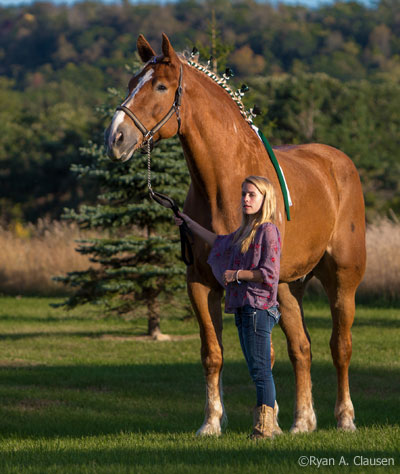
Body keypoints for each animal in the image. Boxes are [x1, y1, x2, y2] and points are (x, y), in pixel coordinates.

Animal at [105, 31, 366, 436]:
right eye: (132, 83)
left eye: (160, 86)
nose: (115, 138)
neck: (226, 184)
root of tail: (338, 162)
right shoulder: (200, 283)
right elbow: (213, 353)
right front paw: (212, 422)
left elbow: (264, 355)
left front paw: (266, 422)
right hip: (290, 287)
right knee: (302, 348)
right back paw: (303, 421)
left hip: (342, 280)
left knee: (340, 345)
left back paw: (345, 418)